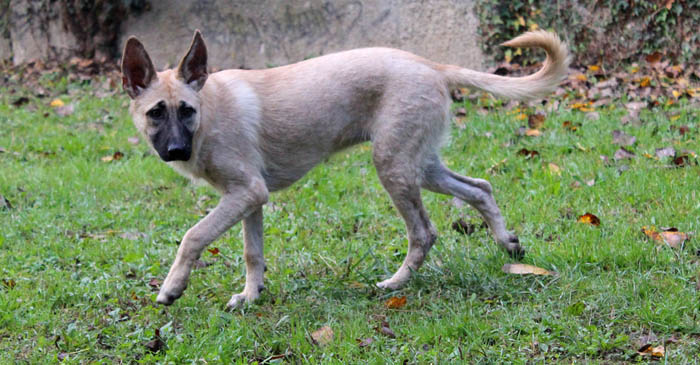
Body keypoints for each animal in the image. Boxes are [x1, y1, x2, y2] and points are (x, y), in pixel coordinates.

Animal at [120, 29, 568, 306]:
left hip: (393, 167)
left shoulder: (246, 193)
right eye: (155, 113)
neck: (210, 112)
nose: (176, 150)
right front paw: (250, 296)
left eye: (187, 111)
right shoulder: (248, 199)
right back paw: (508, 243)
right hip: (420, 165)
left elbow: (193, 236)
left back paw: (395, 283)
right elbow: (252, 253)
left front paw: (172, 288)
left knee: (424, 232)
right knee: (480, 187)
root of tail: (432, 65)